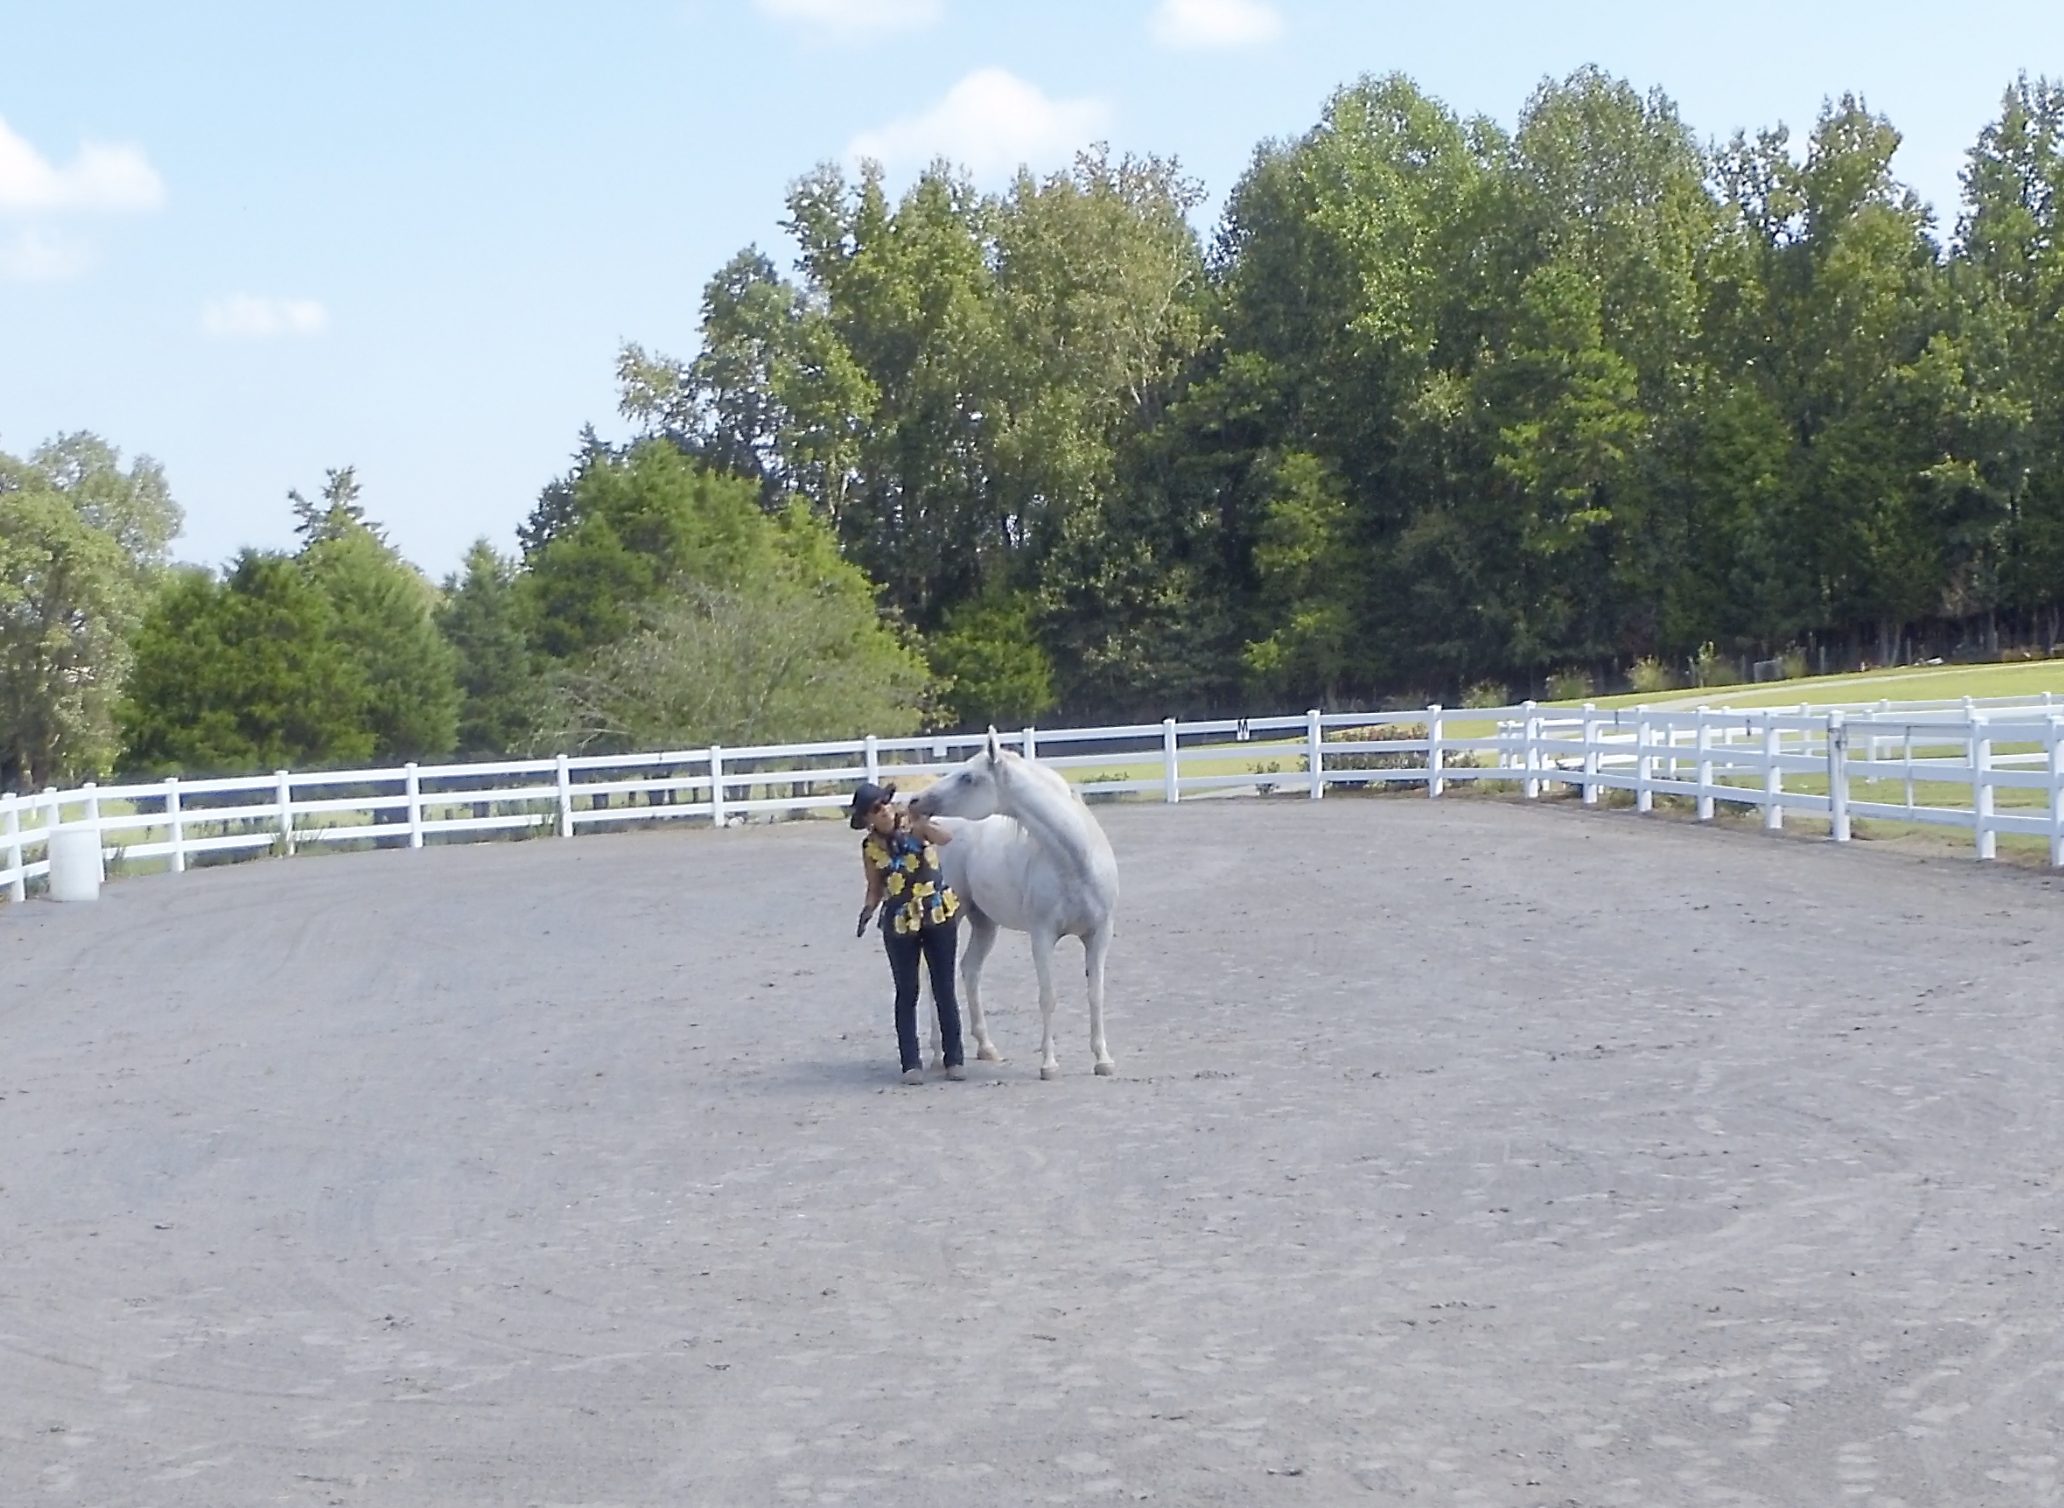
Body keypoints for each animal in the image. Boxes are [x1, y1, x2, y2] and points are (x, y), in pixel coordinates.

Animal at [908, 729, 1120, 1080]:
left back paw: (986, 1046)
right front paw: (1049, 1065)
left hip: (984, 923)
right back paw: (939, 1054)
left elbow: (1096, 995)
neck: (1077, 861)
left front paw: (1103, 1059)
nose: (915, 801)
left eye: (968, 777)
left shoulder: (1099, 934)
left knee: (970, 970)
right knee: (935, 975)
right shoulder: (1042, 935)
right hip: (952, 916)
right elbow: (1048, 996)